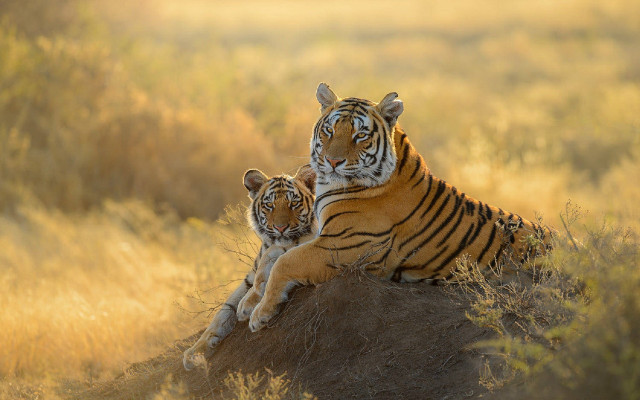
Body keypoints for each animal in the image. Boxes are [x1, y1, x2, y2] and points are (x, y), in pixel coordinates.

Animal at [183, 165, 316, 371]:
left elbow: (273, 261)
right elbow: (223, 312)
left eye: (293, 203)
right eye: (269, 205)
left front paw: (248, 303)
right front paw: (195, 352)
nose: (280, 228)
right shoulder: (248, 279)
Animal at [247, 83, 553, 332]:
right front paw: (249, 301)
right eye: (330, 130)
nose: (332, 162)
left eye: (360, 136)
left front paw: (260, 314)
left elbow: (287, 262)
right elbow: (275, 254)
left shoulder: (345, 245)